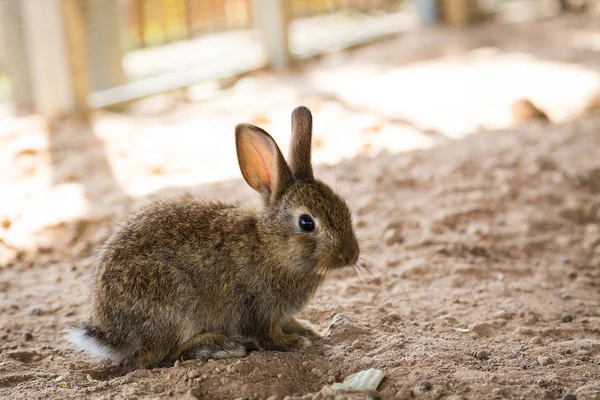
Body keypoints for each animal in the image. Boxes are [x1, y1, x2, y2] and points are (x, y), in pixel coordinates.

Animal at [69, 105, 360, 368]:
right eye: (306, 223)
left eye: (345, 207)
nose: (351, 255)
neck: (270, 246)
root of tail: (112, 335)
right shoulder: (256, 308)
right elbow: (268, 336)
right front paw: (295, 343)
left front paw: (307, 329)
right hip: (169, 298)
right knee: (156, 356)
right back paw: (219, 346)